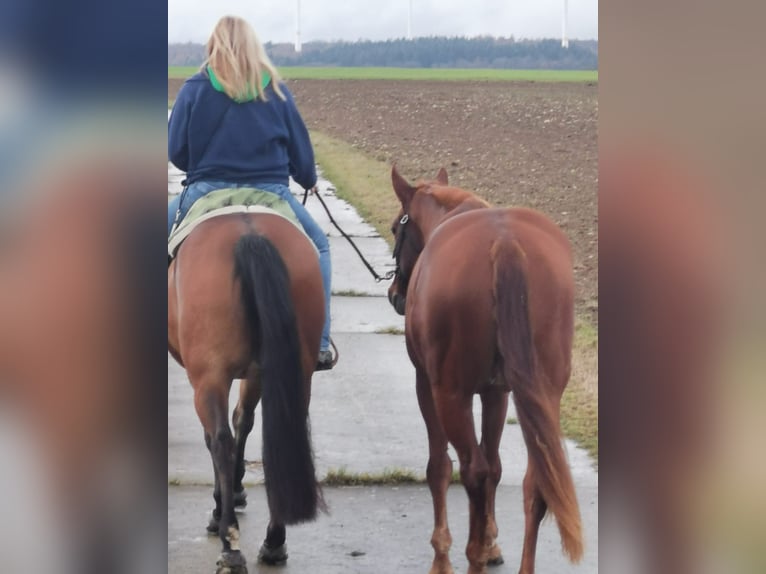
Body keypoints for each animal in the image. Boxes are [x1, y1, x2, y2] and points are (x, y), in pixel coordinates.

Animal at [168, 212, 324, 574]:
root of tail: (250, 233)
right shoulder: (254, 374)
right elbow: (245, 420)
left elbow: (221, 434)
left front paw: (222, 505)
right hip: (293, 369)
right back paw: (274, 540)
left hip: (209, 376)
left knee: (220, 442)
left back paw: (229, 542)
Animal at [390, 166, 584, 574]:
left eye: (395, 227)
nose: (396, 294)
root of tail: (505, 244)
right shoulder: (499, 393)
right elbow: (496, 466)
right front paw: (491, 542)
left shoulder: (427, 386)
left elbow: (441, 467)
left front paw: (444, 556)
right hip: (543, 395)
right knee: (532, 480)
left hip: (451, 396)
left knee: (472, 471)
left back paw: (472, 556)